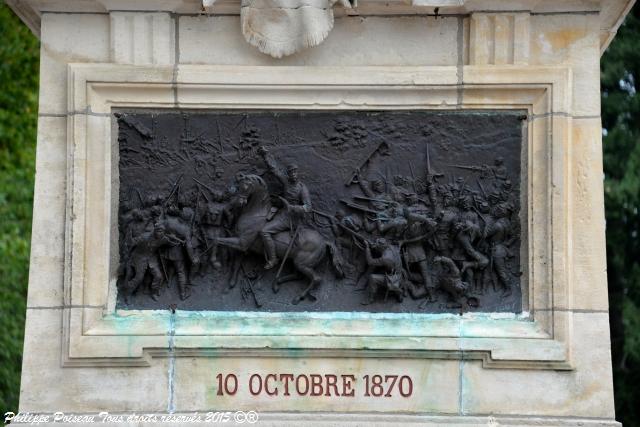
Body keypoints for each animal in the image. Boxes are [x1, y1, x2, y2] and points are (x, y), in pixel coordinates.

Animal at [215, 174, 344, 304]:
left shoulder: (242, 243)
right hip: (298, 261)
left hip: (303, 263)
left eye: (246, 186)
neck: (256, 214)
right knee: (298, 275)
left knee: (316, 279)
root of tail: (324, 241)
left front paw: (215, 261)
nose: (238, 202)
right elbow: (235, 264)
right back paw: (277, 282)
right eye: (239, 186)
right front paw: (230, 285)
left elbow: (217, 240)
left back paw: (298, 296)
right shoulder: (241, 246)